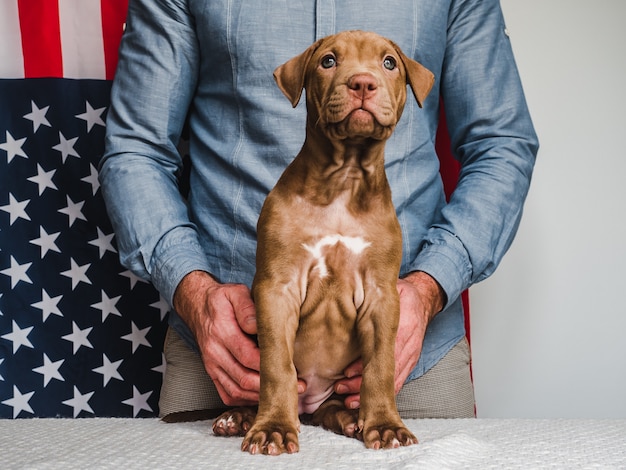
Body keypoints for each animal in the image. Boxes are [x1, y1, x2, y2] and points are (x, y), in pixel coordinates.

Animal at [212, 30, 432, 456]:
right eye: (328, 61)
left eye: (389, 63)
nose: (362, 83)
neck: (345, 178)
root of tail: (310, 405)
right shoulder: (277, 290)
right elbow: (277, 367)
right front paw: (273, 429)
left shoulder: (382, 296)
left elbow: (380, 366)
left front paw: (385, 425)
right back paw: (238, 418)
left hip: (331, 395)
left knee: (330, 409)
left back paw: (350, 419)